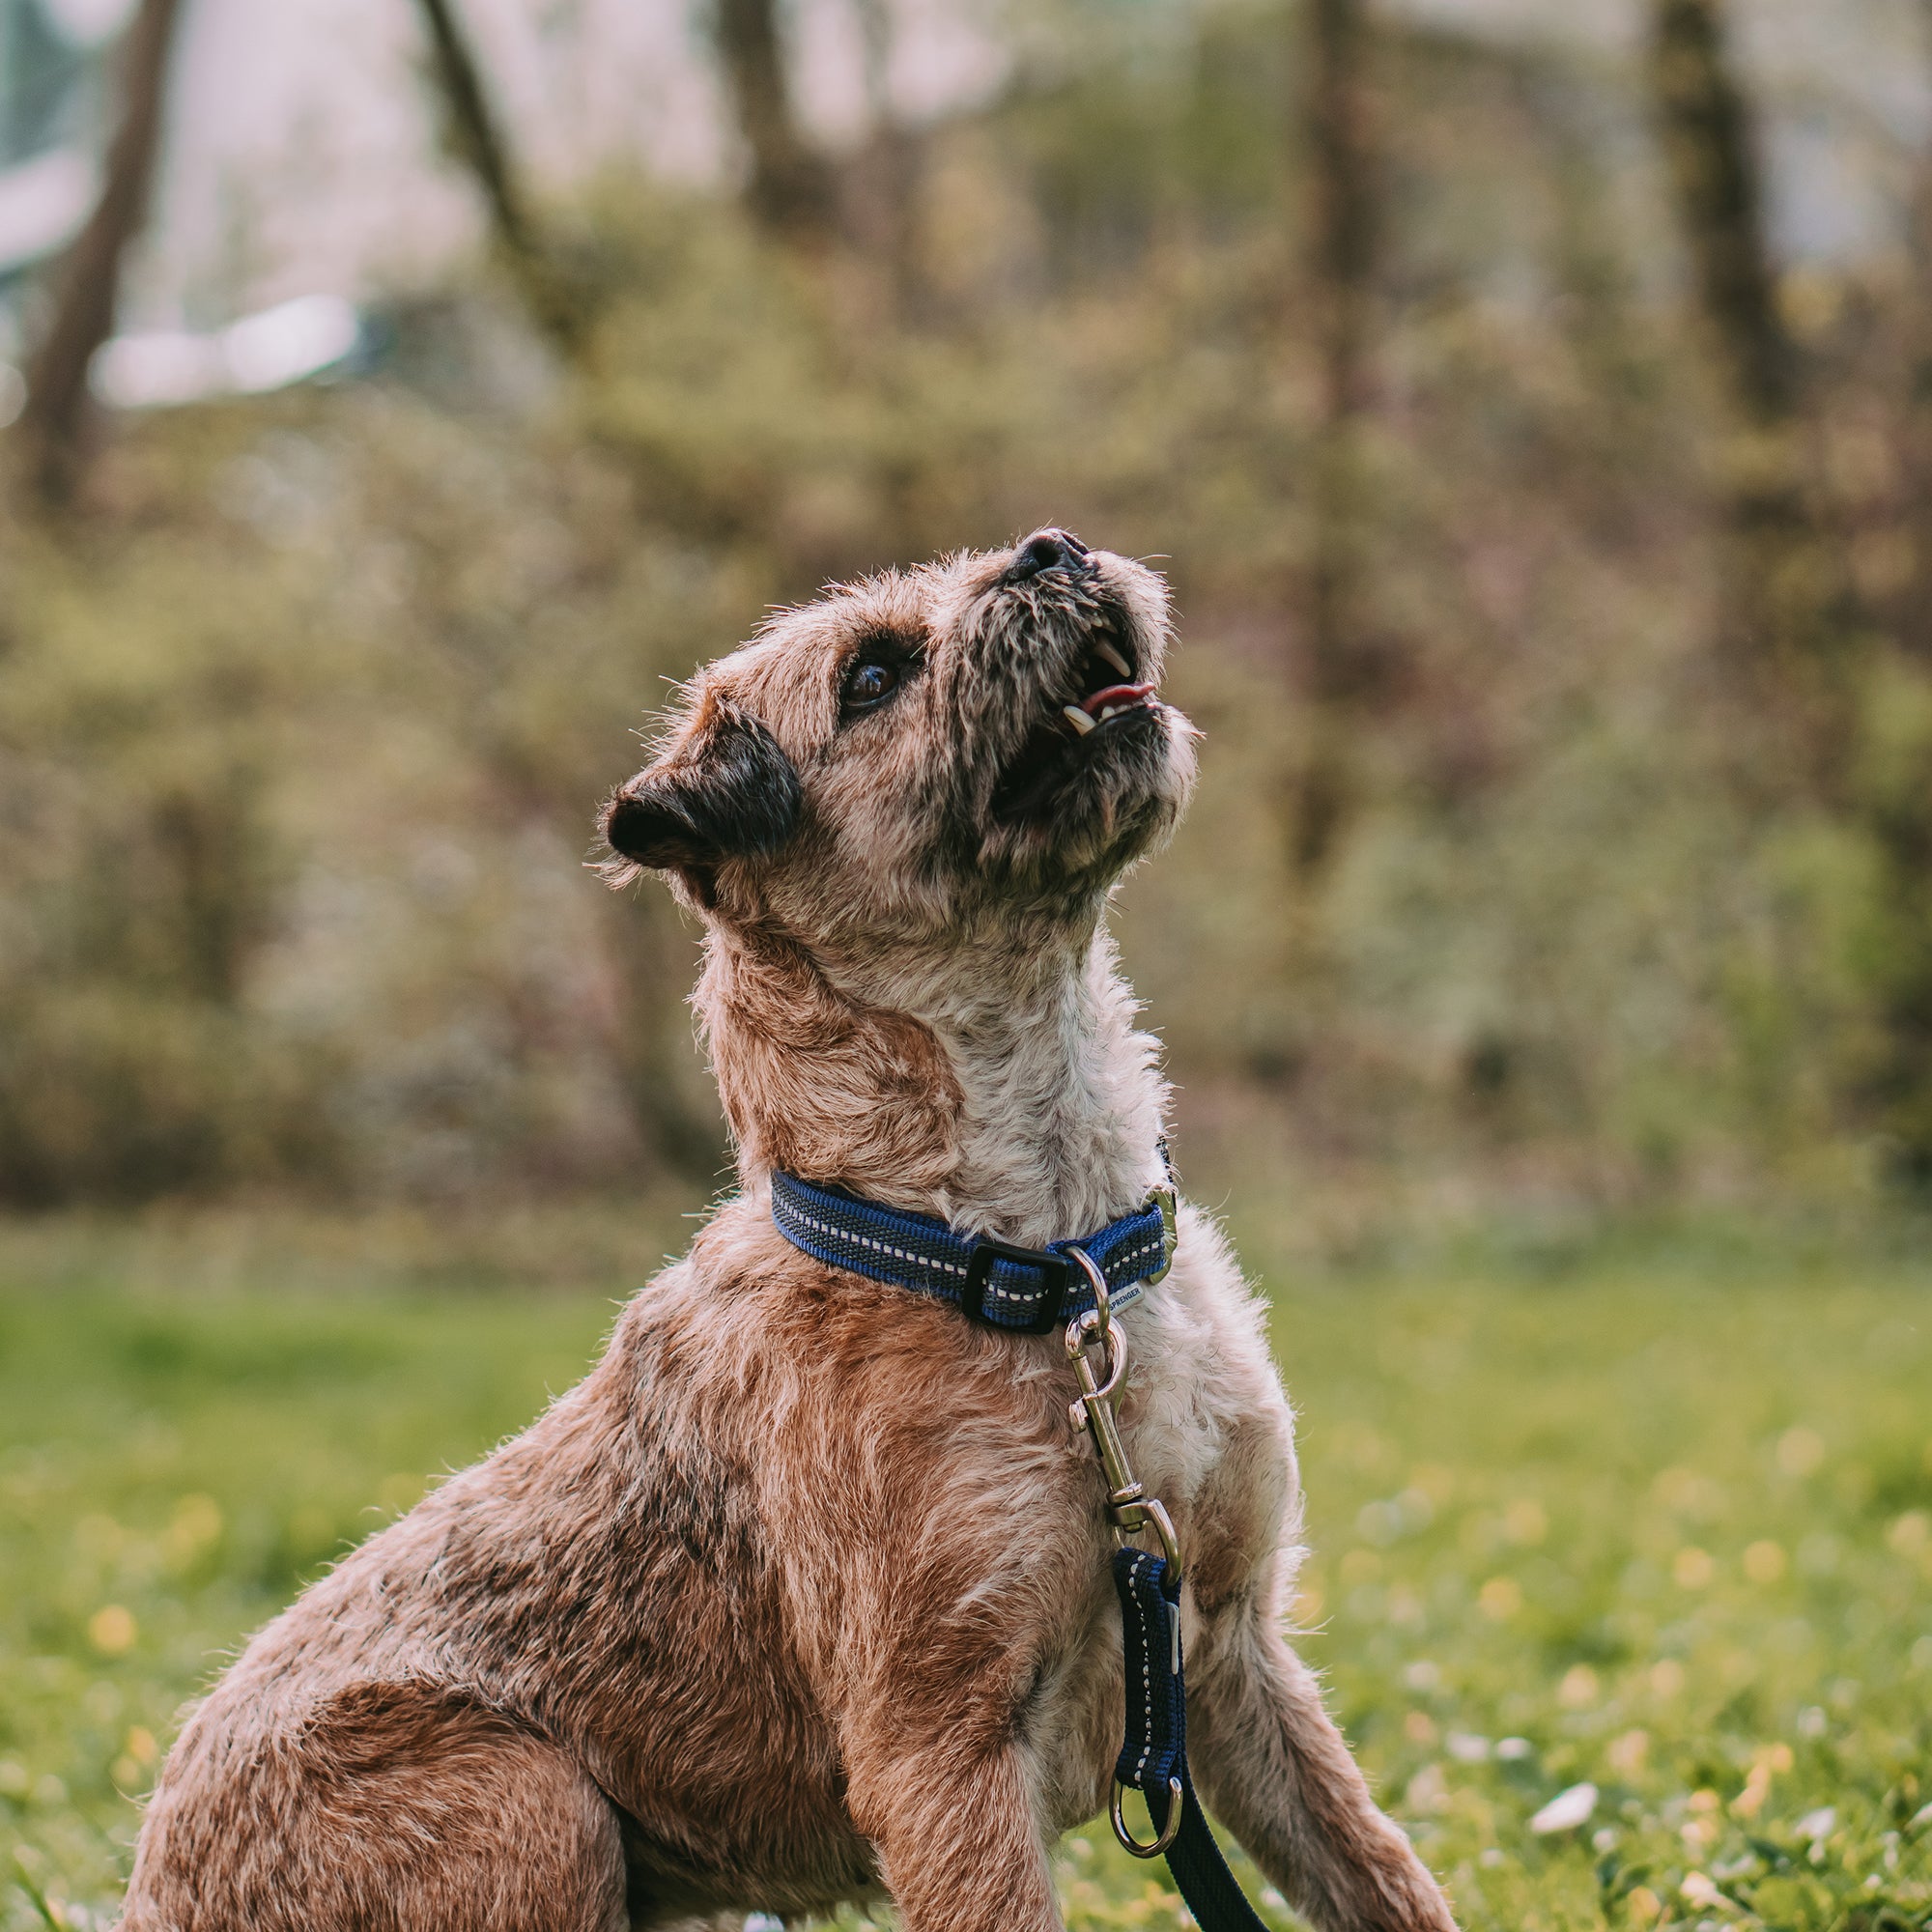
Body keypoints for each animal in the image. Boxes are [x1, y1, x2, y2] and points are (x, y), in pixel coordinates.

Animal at [125, 529, 1453, 1932]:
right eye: (872, 674)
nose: (1054, 547)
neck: (1033, 1255)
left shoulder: (1233, 1658)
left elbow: (1385, 1880)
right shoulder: (940, 1756)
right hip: (528, 1798)